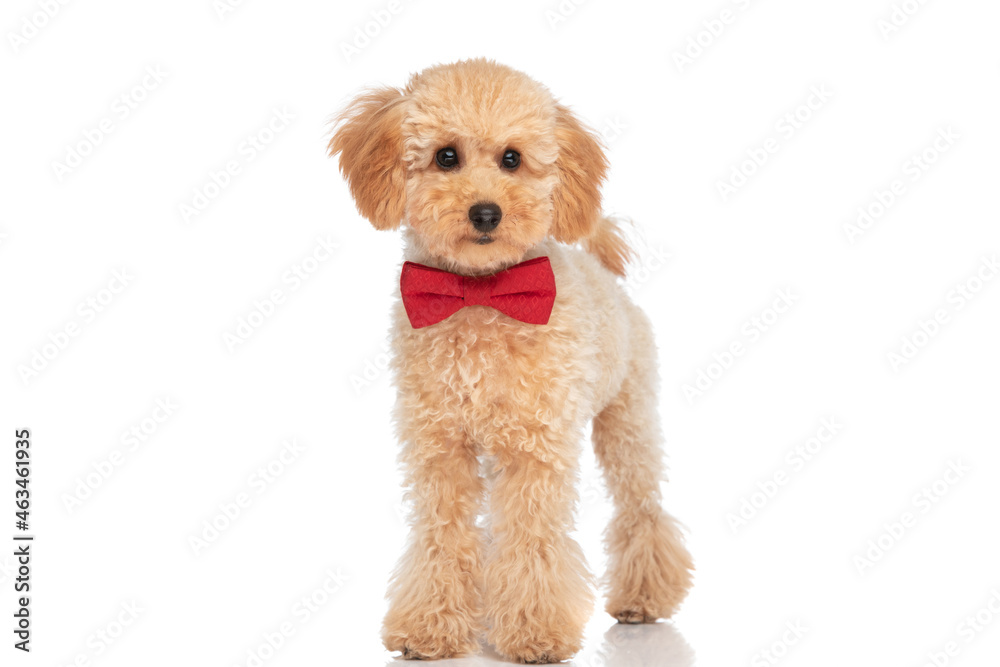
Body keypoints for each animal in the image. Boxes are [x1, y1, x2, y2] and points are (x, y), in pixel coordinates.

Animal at [329, 59, 692, 663]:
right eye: (445, 156)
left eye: (512, 159)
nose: (485, 212)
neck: (481, 294)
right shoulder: (440, 446)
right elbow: (443, 535)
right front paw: (432, 626)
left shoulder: (536, 447)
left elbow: (532, 539)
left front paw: (535, 631)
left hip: (628, 421)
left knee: (642, 508)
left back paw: (643, 598)